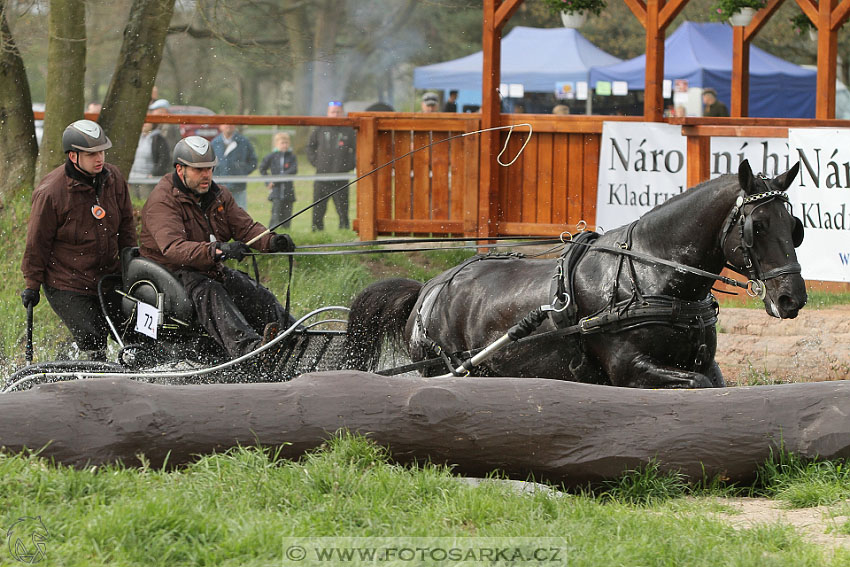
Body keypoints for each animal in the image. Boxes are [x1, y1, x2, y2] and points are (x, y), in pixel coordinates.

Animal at [342, 162, 804, 388]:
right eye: (757, 226)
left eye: (795, 225)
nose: (791, 297)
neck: (651, 276)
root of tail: (428, 290)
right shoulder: (631, 370)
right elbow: (698, 387)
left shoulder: (703, 362)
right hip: (444, 366)